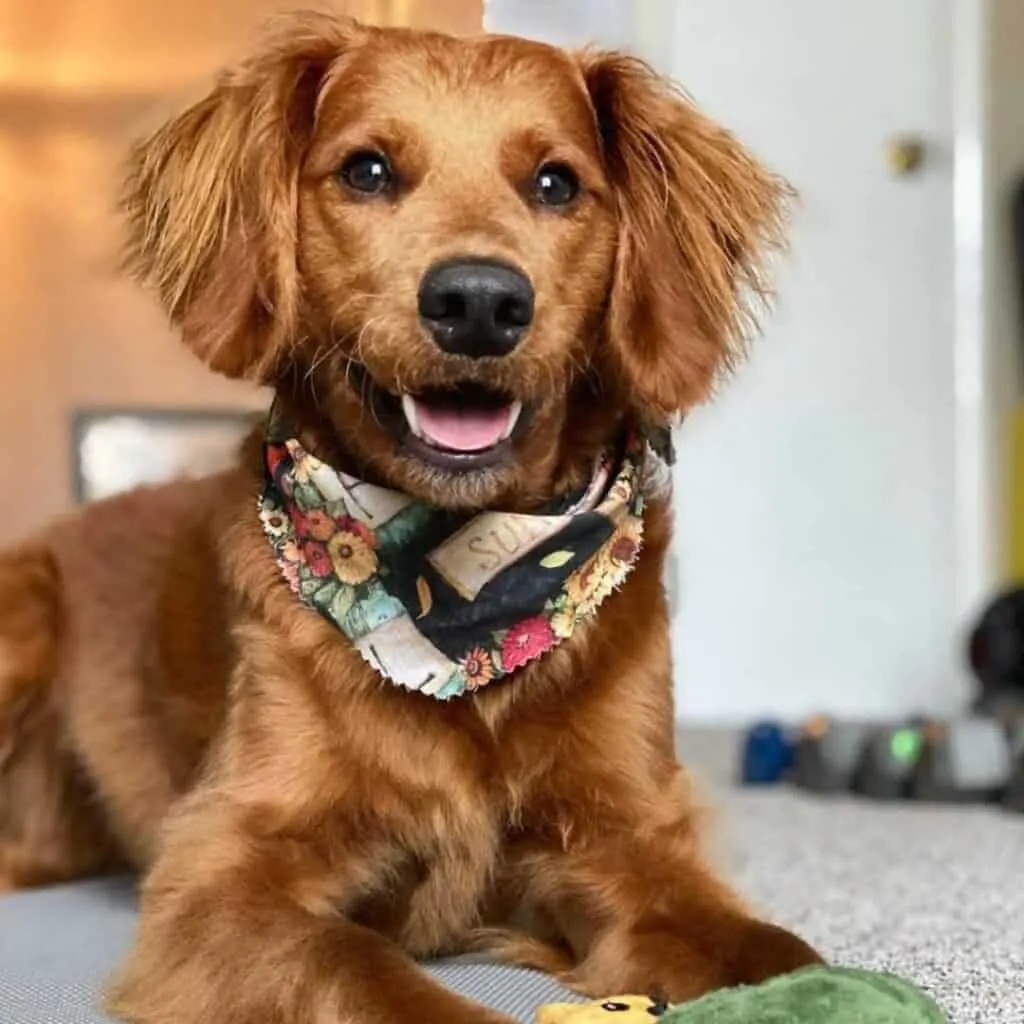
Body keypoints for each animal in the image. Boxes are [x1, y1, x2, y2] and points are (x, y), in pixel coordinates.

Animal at [0, 9, 823, 1024]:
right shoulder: (219, 869)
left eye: (556, 183)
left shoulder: (625, 833)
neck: (460, 591)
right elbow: (353, 963)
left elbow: (774, 953)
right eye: (367, 171)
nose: (478, 302)